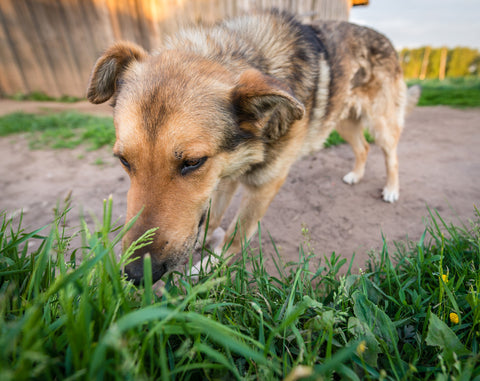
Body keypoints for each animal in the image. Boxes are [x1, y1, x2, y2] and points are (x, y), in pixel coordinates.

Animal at [86, 9, 420, 282]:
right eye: (124, 160)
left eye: (192, 162)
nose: (135, 274)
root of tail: (383, 37)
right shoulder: (225, 174)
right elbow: (214, 215)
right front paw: (204, 240)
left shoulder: (264, 183)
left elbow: (237, 232)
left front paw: (208, 267)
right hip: (343, 122)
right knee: (363, 148)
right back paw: (356, 174)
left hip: (381, 123)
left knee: (391, 155)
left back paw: (392, 189)